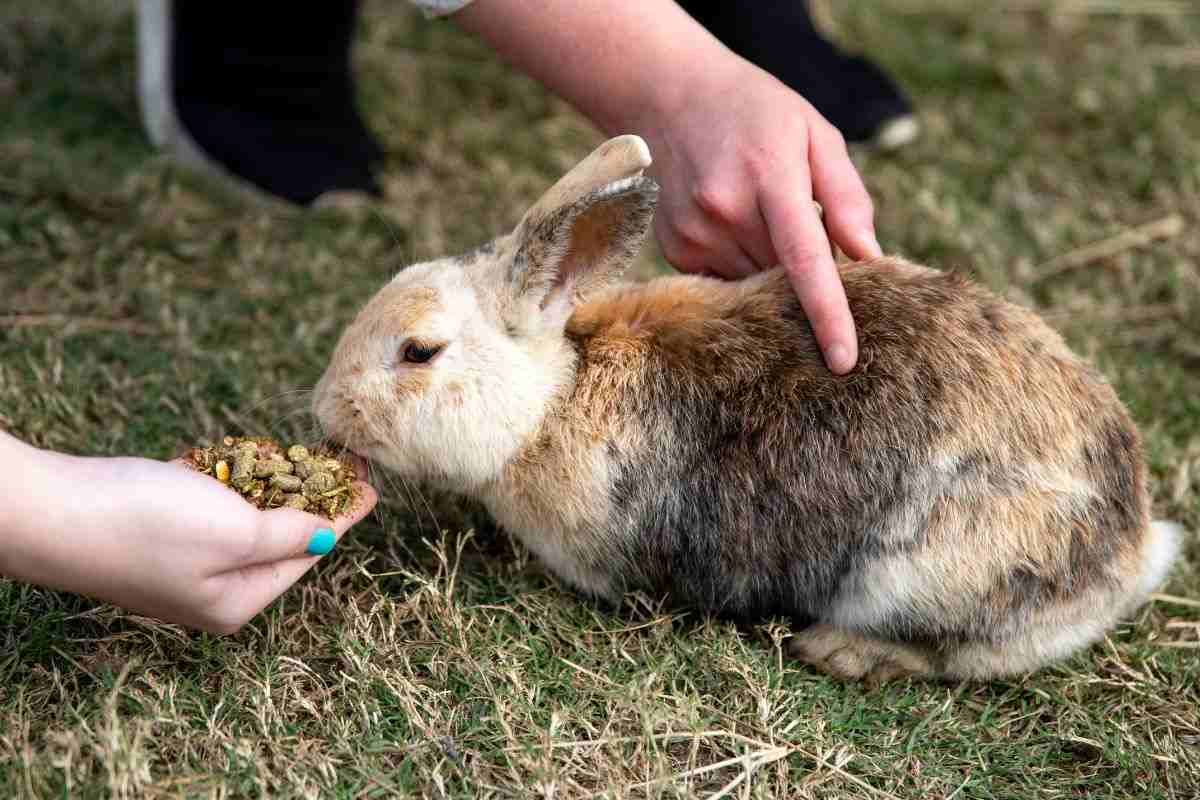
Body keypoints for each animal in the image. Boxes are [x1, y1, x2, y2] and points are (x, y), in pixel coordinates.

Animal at [313, 135, 1181, 682]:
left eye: (418, 353)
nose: (326, 411)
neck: (553, 400)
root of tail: (1134, 542)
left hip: (923, 575)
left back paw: (841, 653)